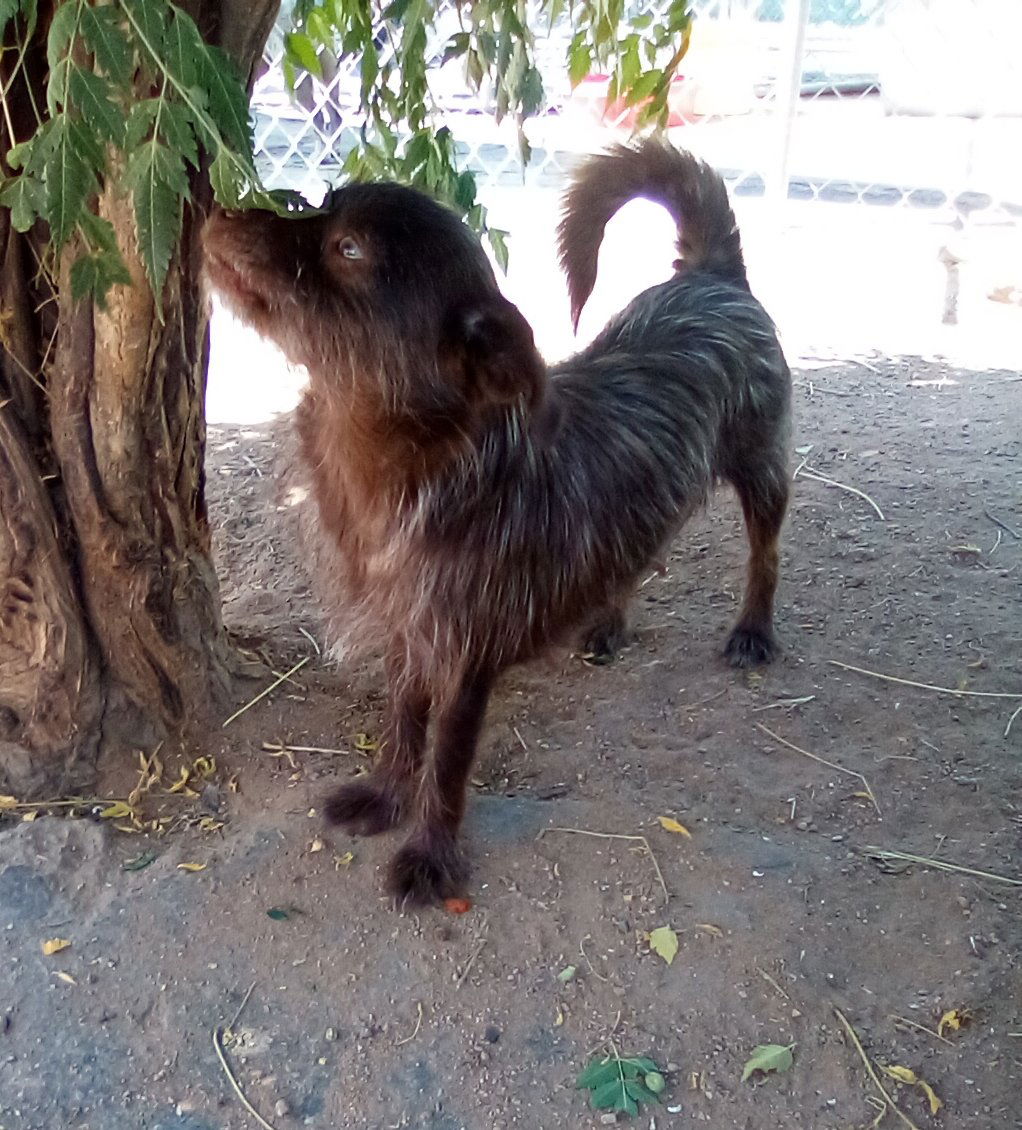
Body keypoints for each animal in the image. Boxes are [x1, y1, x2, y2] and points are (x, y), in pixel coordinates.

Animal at [200, 136, 791, 904]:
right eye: (321, 202)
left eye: (348, 248)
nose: (216, 205)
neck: (414, 457)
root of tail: (712, 276)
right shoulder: (409, 634)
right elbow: (402, 725)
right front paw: (386, 795)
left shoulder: (463, 657)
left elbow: (446, 761)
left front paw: (430, 852)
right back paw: (606, 621)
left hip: (762, 471)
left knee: (765, 553)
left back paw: (753, 629)